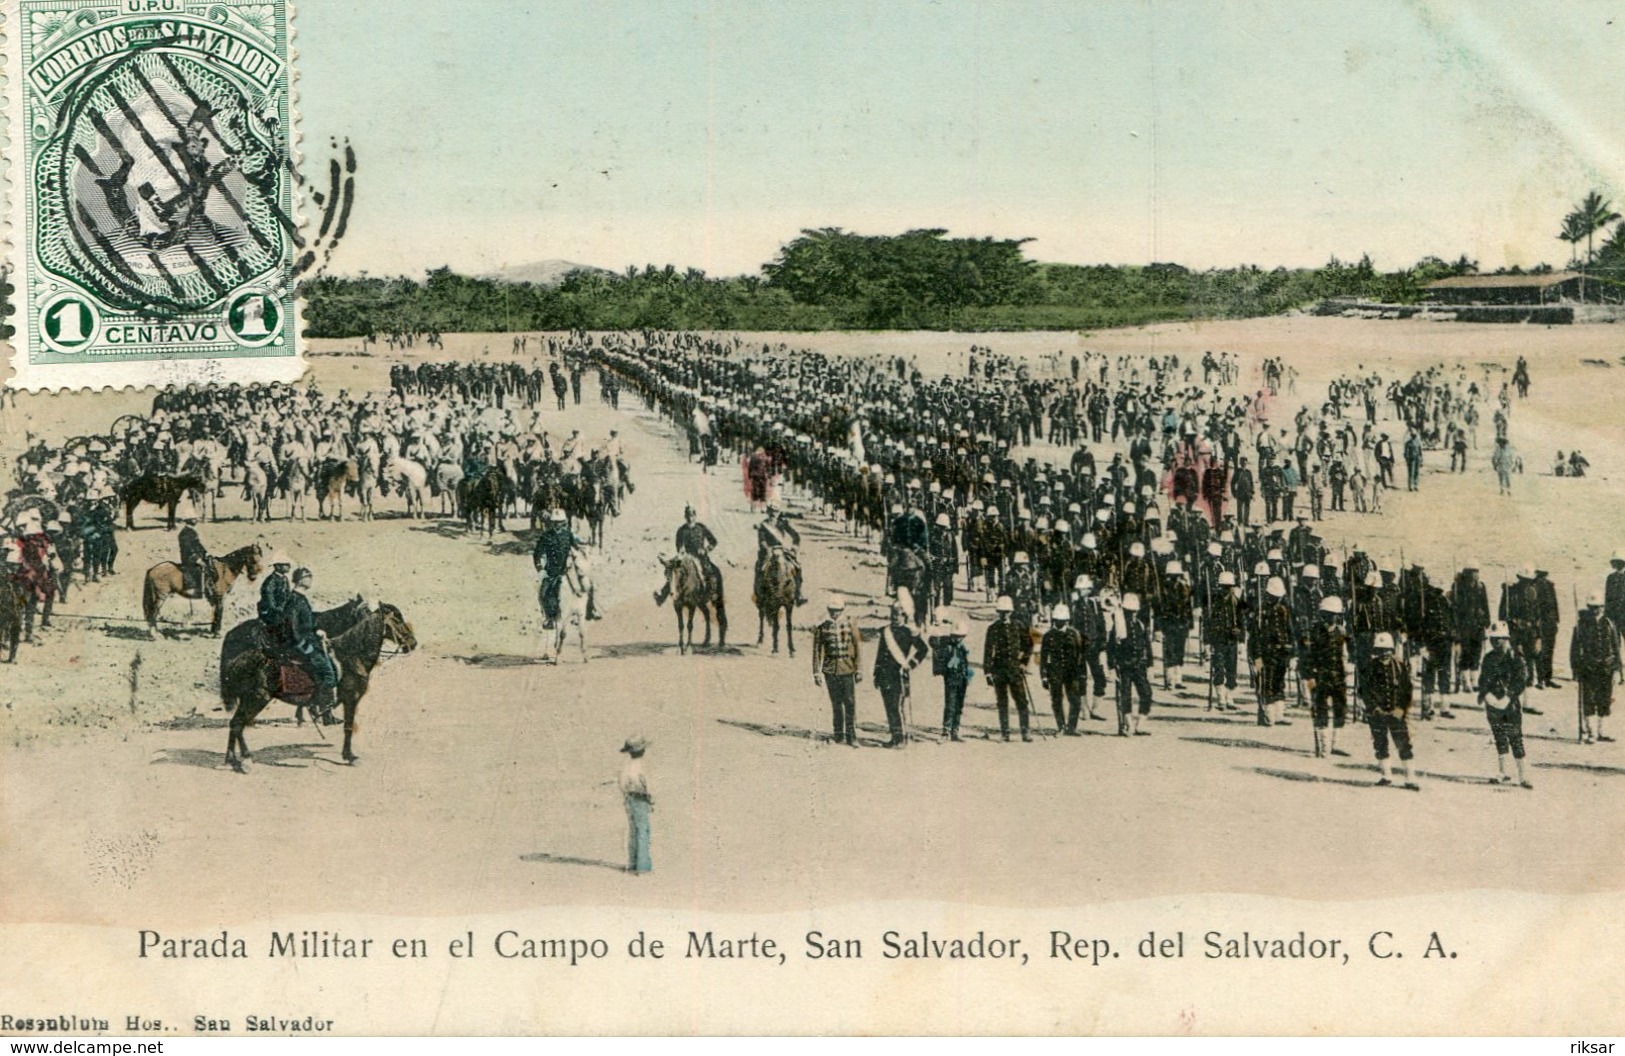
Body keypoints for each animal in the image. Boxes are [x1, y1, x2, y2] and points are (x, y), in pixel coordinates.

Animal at [219, 604, 416, 770]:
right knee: (237, 724)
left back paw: (238, 757)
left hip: (250, 699)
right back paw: (239, 761)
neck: (351, 655)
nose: (413, 643)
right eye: (397, 619)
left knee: (237, 724)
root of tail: (237, 661)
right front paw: (349, 756)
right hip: (257, 698)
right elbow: (349, 727)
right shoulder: (351, 699)